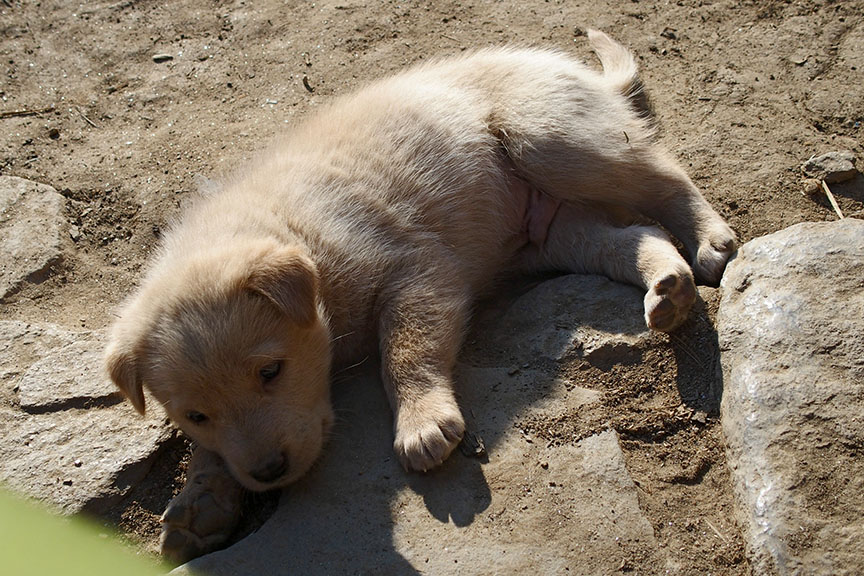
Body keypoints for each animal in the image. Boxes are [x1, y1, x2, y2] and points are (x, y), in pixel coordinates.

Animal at [103, 29, 736, 560]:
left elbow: (405, 350)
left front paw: (421, 422)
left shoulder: (420, 269)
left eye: (270, 372)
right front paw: (200, 502)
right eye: (196, 413)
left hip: (553, 137)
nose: (268, 470)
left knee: (664, 178)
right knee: (635, 234)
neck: (300, 236)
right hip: (555, 230)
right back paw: (667, 286)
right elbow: (209, 452)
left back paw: (710, 240)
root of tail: (581, 75)